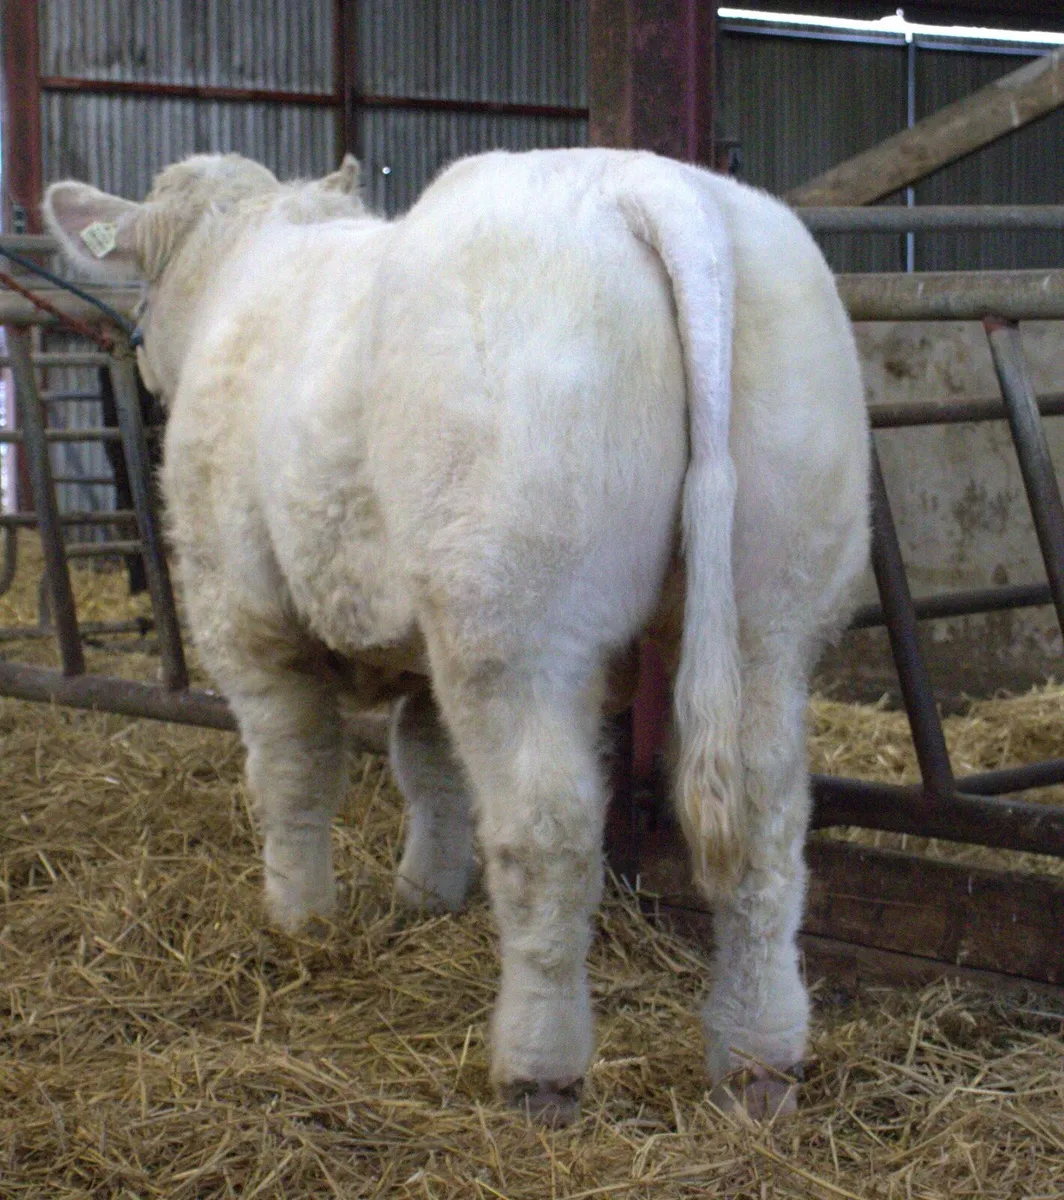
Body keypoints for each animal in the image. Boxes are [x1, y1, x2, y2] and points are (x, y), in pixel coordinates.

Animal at [44, 148, 870, 1124]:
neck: (246, 265)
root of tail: (653, 187)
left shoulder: (245, 614)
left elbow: (294, 774)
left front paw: (301, 918)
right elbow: (428, 764)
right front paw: (424, 895)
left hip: (510, 615)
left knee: (549, 833)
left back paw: (538, 1070)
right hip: (769, 605)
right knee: (768, 825)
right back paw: (757, 1060)